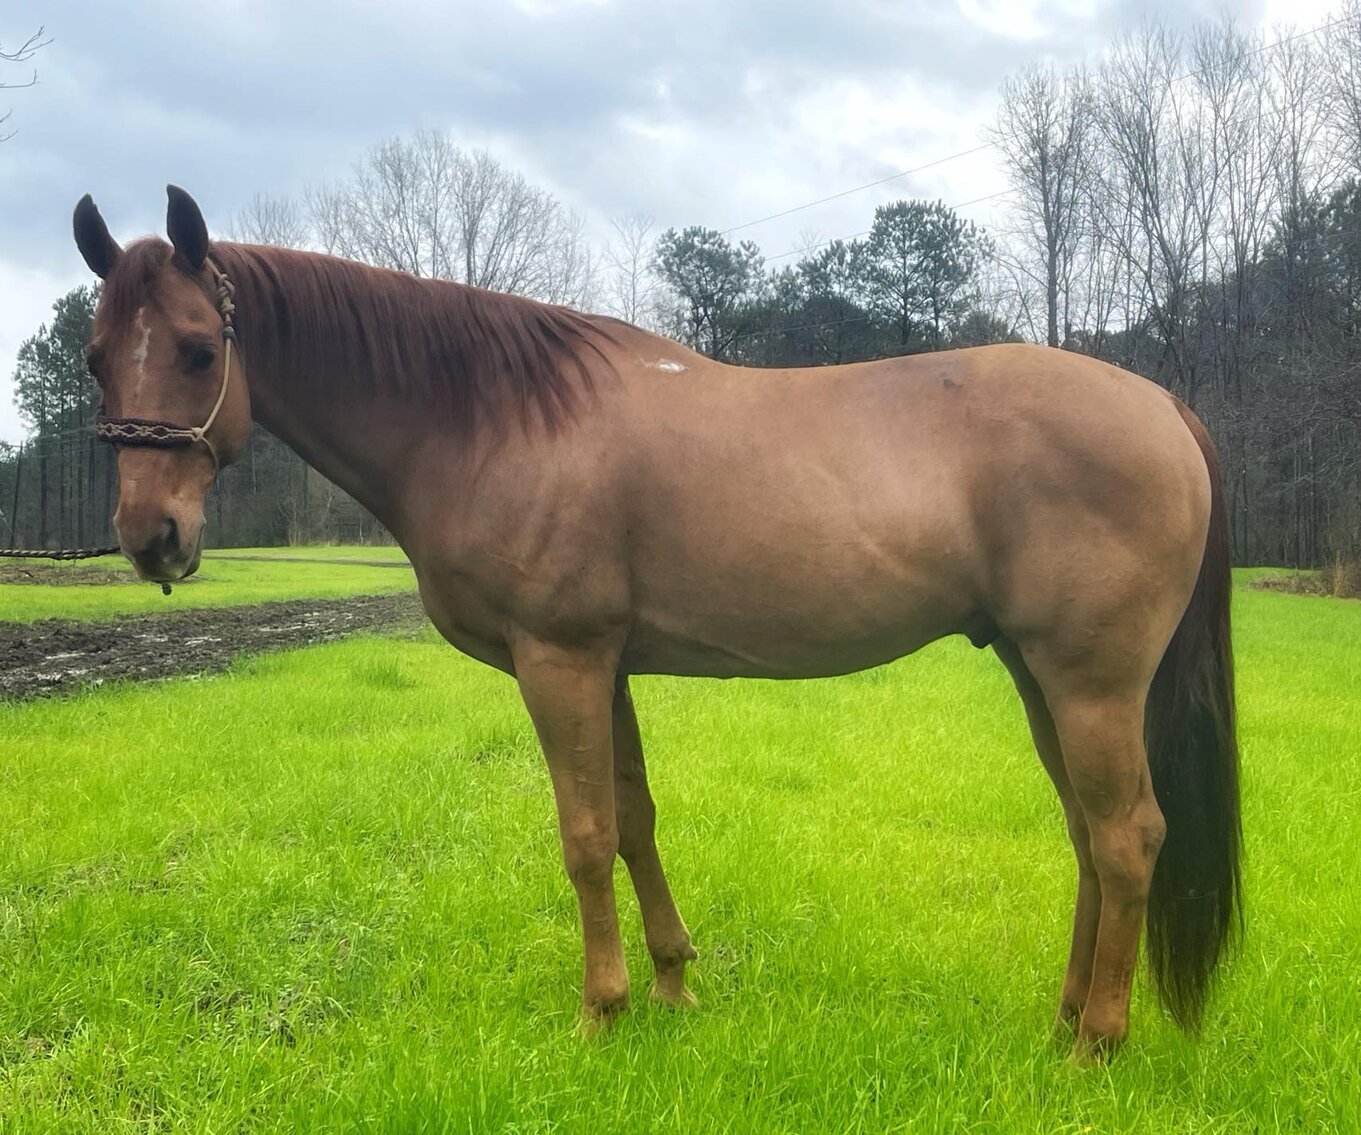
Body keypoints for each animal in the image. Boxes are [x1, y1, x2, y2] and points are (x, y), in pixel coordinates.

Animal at [72, 186, 1240, 1061]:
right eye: (93, 356)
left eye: (195, 348)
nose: (151, 538)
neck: (490, 417)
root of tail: (1163, 407)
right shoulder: (611, 666)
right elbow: (634, 820)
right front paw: (675, 987)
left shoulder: (559, 661)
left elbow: (585, 835)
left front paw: (604, 1010)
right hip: (1041, 677)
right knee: (1089, 836)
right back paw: (1060, 1022)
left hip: (1090, 682)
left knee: (1128, 836)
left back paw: (1096, 1043)